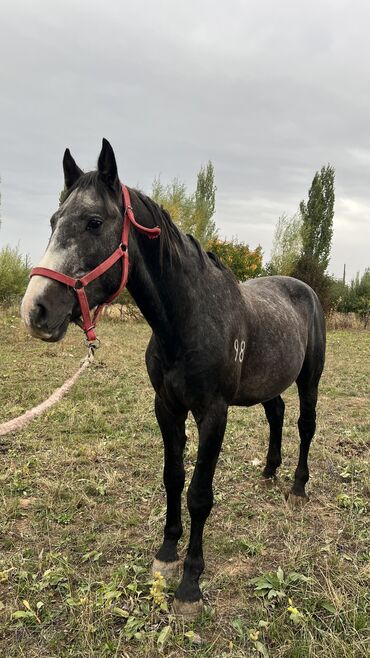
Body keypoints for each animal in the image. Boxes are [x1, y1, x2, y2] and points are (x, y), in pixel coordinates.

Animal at [21, 138, 326, 616]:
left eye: (94, 222)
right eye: (54, 221)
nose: (36, 310)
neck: (186, 321)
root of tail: (304, 290)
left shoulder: (212, 414)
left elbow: (199, 494)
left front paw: (190, 584)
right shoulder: (166, 407)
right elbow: (172, 478)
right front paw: (166, 555)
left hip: (310, 379)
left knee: (305, 424)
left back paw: (297, 486)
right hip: (267, 383)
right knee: (276, 413)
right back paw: (269, 471)